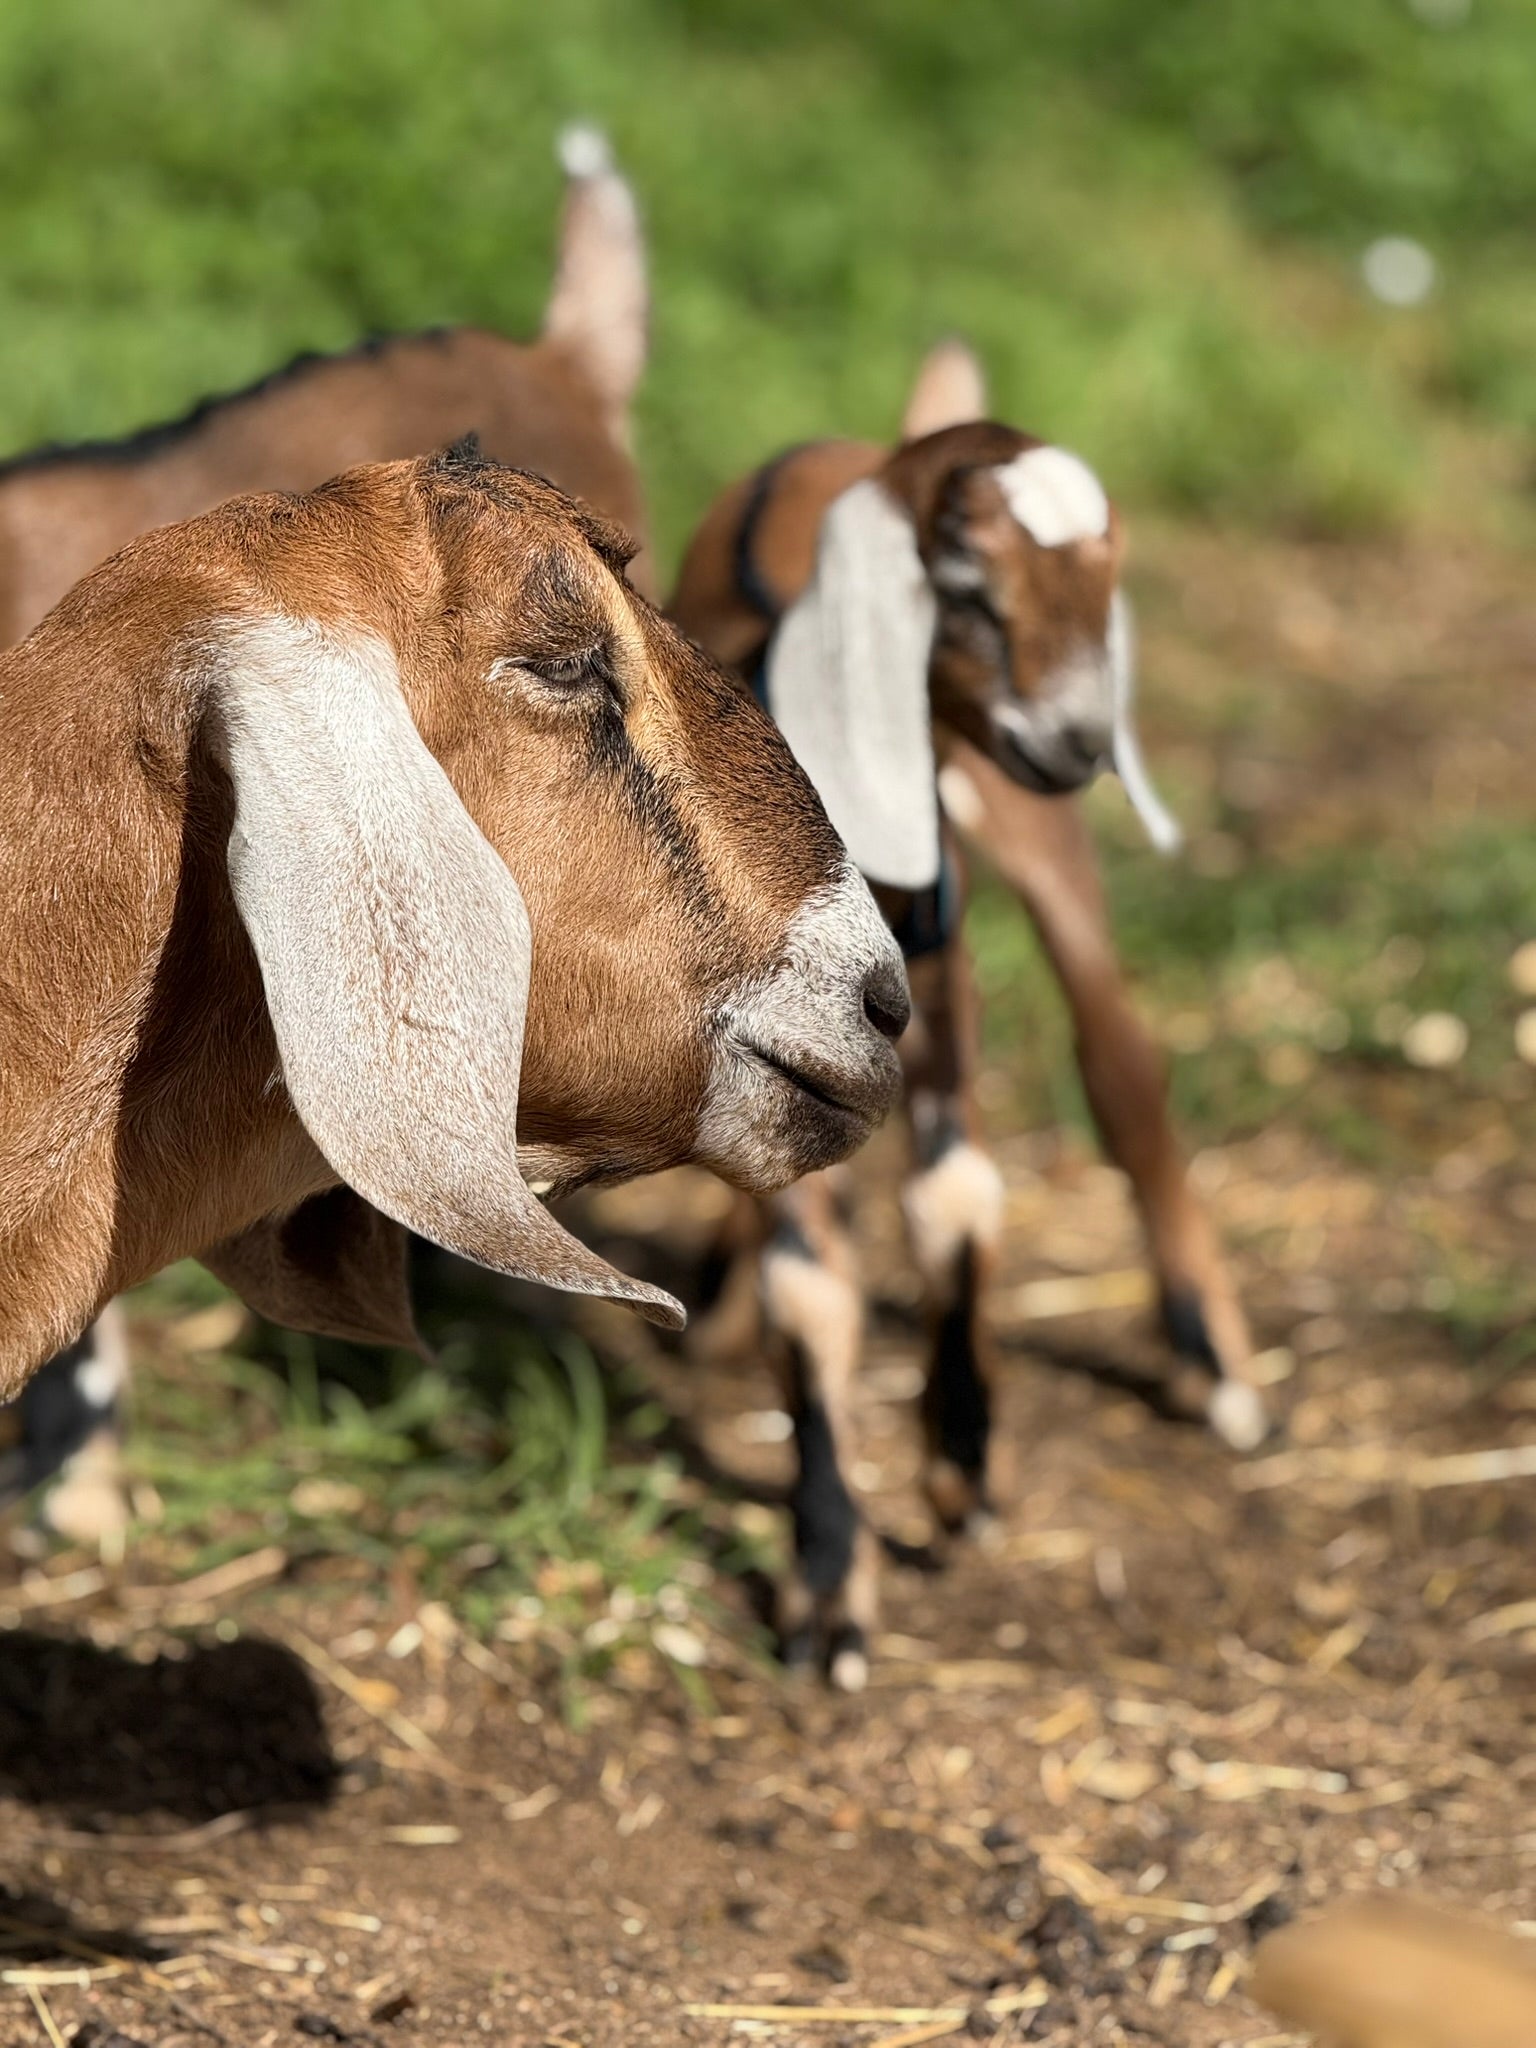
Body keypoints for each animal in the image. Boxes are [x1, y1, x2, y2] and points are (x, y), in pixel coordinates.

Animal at [669, 339, 1265, 1687]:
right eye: (965, 587)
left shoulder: (938, 1003)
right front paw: (830, 1577)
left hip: (1037, 845)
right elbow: (811, 1283)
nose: (1079, 738)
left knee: (1119, 1057)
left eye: (1108, 578)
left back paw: (1213, 1358)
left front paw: (962, 1463)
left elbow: (958, 1203)